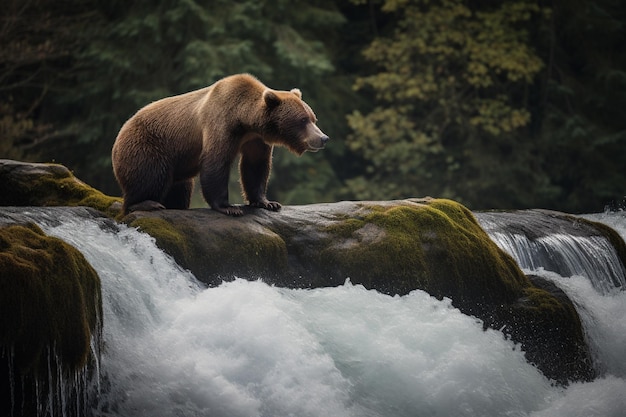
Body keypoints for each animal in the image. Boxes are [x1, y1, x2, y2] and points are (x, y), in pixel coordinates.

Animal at [112, 73, 330, 214]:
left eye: (313, 118)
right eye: (303, 120)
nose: (323, 138)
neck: (245, 121)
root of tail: (120, 133)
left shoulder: (255, 139)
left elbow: (256, 167)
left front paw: (268, 202)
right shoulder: (221, 124)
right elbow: (216, 162)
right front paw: (229, 207)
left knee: (180, 188)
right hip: (148, 144)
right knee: (150, 175)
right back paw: (146, 203)